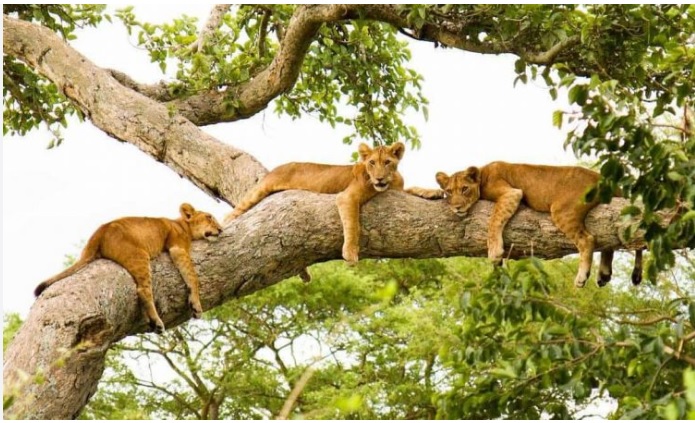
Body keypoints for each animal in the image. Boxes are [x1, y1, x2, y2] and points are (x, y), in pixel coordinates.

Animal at [34, 203, 223, 333]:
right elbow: (193, 277)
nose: (221, 230)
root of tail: (100, 231)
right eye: (209, 217)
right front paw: (196, 305)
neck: (182, 225)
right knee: (143, 290)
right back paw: (157, 322)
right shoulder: (178, 247)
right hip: (139, 255)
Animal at [223, 142, 406, 263]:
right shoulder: (347, 197)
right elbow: (353, 225)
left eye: (387, 162)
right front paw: (350, 253)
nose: (379, 178)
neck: (391, 182)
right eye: (372, 162)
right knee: (232, 214)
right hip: (259, 190)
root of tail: (277, 167)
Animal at [407, 161, 643, 288]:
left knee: (588, 239)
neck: (482, 173)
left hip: (562, 210)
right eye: (449, 192)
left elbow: (494, 221)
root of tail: (603, 178)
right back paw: (604, 274)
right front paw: (419, 190)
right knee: (608, 241)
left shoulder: (511, 193)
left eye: (464, 189)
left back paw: (582, 277)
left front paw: (494, 252)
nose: (456, 207)